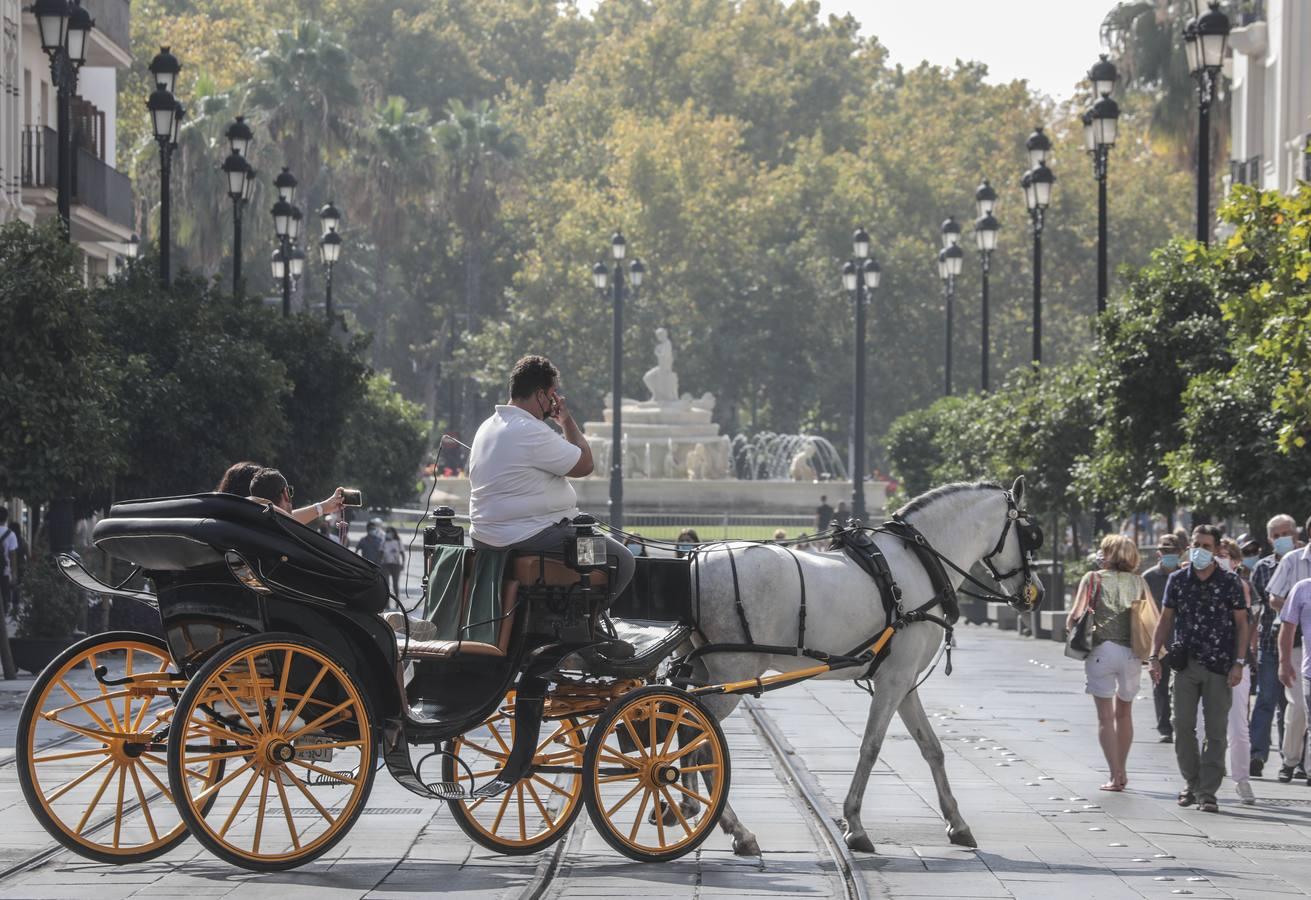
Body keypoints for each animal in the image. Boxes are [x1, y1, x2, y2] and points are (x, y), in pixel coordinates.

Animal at [686, 474, 1043, 855]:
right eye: (1030, 534)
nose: (1036, 593)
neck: (920, 563)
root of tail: (696, 562)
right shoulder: (893, 681)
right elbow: (871, 746)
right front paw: (855, 825)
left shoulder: (905, 682)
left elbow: (931, 747)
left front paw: (956, 822)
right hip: (732, 672)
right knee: (701, 739)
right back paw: (735, 828)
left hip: (704, 671)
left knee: (685, 728)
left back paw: (691, 807)